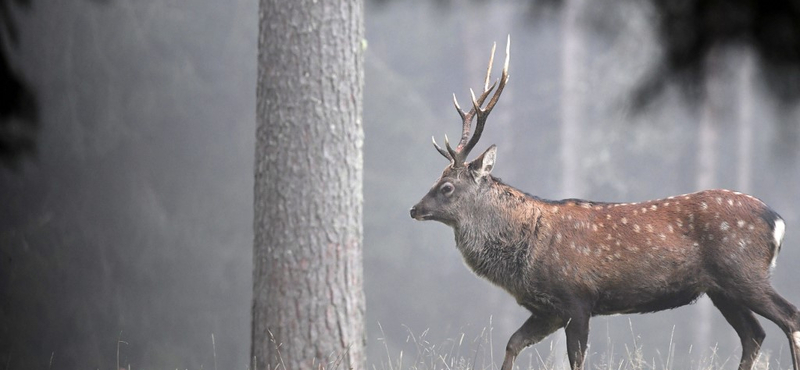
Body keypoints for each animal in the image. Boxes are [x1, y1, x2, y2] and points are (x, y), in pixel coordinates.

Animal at [410, 35, 796, 370]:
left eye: (446, 186)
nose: (414, 209)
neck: (525, 251)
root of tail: (778, 222)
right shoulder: (549, 310)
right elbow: (513, 343)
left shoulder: (577, 297)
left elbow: (576, 359)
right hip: (721, 288)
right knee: (754, 335)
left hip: (743, 271)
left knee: (789, 317)